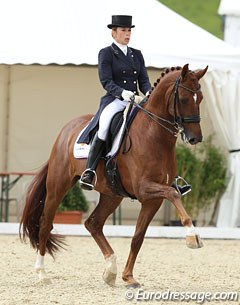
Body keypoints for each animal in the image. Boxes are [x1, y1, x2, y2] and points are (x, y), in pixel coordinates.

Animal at [20, 63, 208, 288]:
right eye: (184, 98)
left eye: (201, 98)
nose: (195, 138)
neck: (153, 135)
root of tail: (67, 130)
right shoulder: (144, 188)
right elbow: (174, 194)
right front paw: (192, 236)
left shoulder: (152, 199)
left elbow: (138, 237)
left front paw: (128, 277)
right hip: (58, 186)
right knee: (46, 224)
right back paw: (42, 273)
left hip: (112, 195)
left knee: (93, 224)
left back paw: (110, 270)